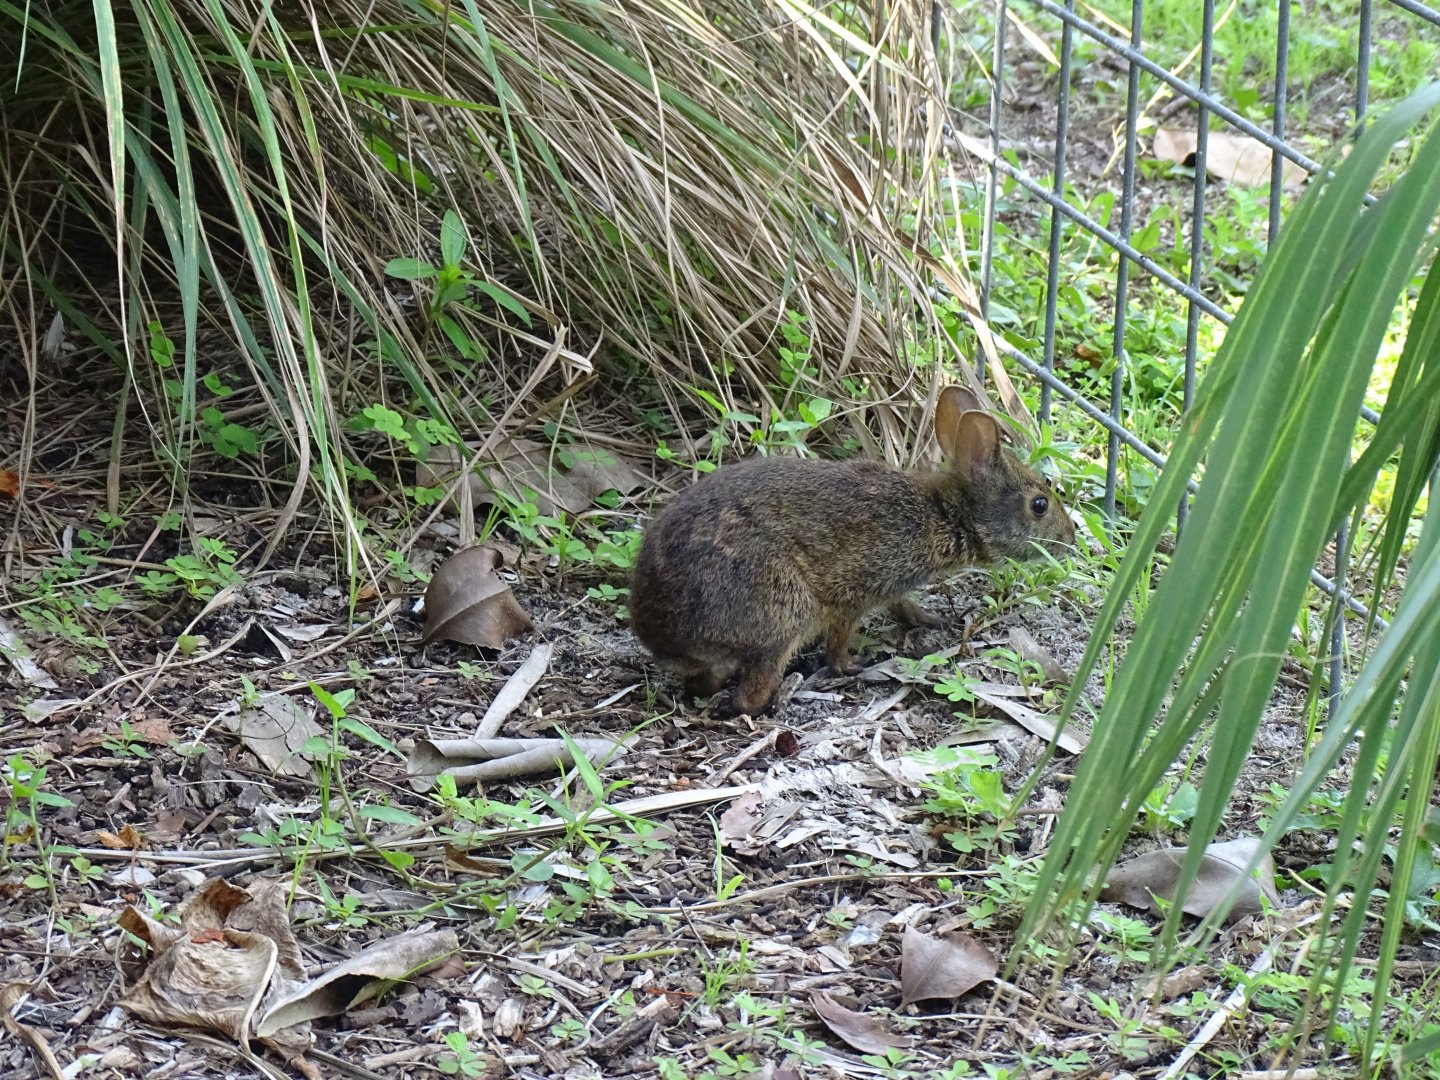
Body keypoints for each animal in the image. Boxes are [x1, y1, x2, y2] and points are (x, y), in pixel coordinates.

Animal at [629, 386, 1076, 716]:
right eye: (1039, 504)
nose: (1070, 540)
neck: (945, 514)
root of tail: (664, 639)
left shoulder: (892, 588)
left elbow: (904, 607)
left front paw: (934, 620)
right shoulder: (855, 591)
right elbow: (840, 637)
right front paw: (850, 666)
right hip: (783, 610)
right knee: (749, 692)